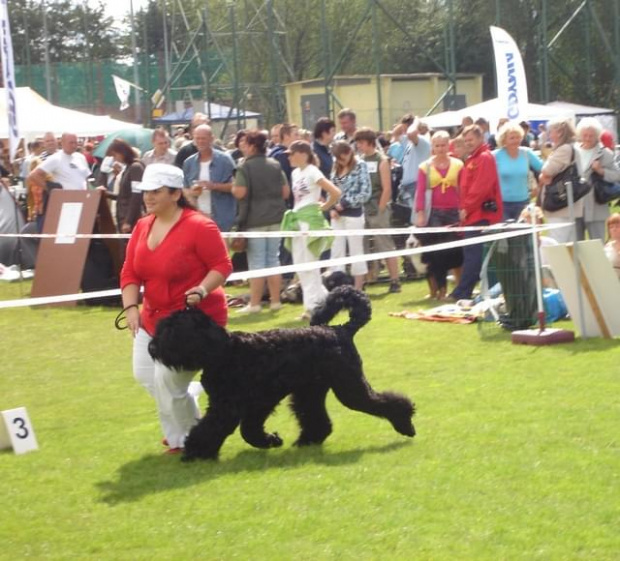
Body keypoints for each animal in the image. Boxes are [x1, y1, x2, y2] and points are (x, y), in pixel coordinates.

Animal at [148, 284, 414, 460]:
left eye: (172, 330)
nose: (152, 347)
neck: (225, 351)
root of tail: (340, 330)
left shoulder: (232, 405)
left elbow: (217, 427)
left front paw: (196, 450)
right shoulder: (252, 404)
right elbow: (247, 429)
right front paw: (271, 440)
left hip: (349, 387)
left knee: (385, 401)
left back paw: (405, 424)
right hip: (310, 392)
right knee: (317, 419)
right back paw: (307, 440)